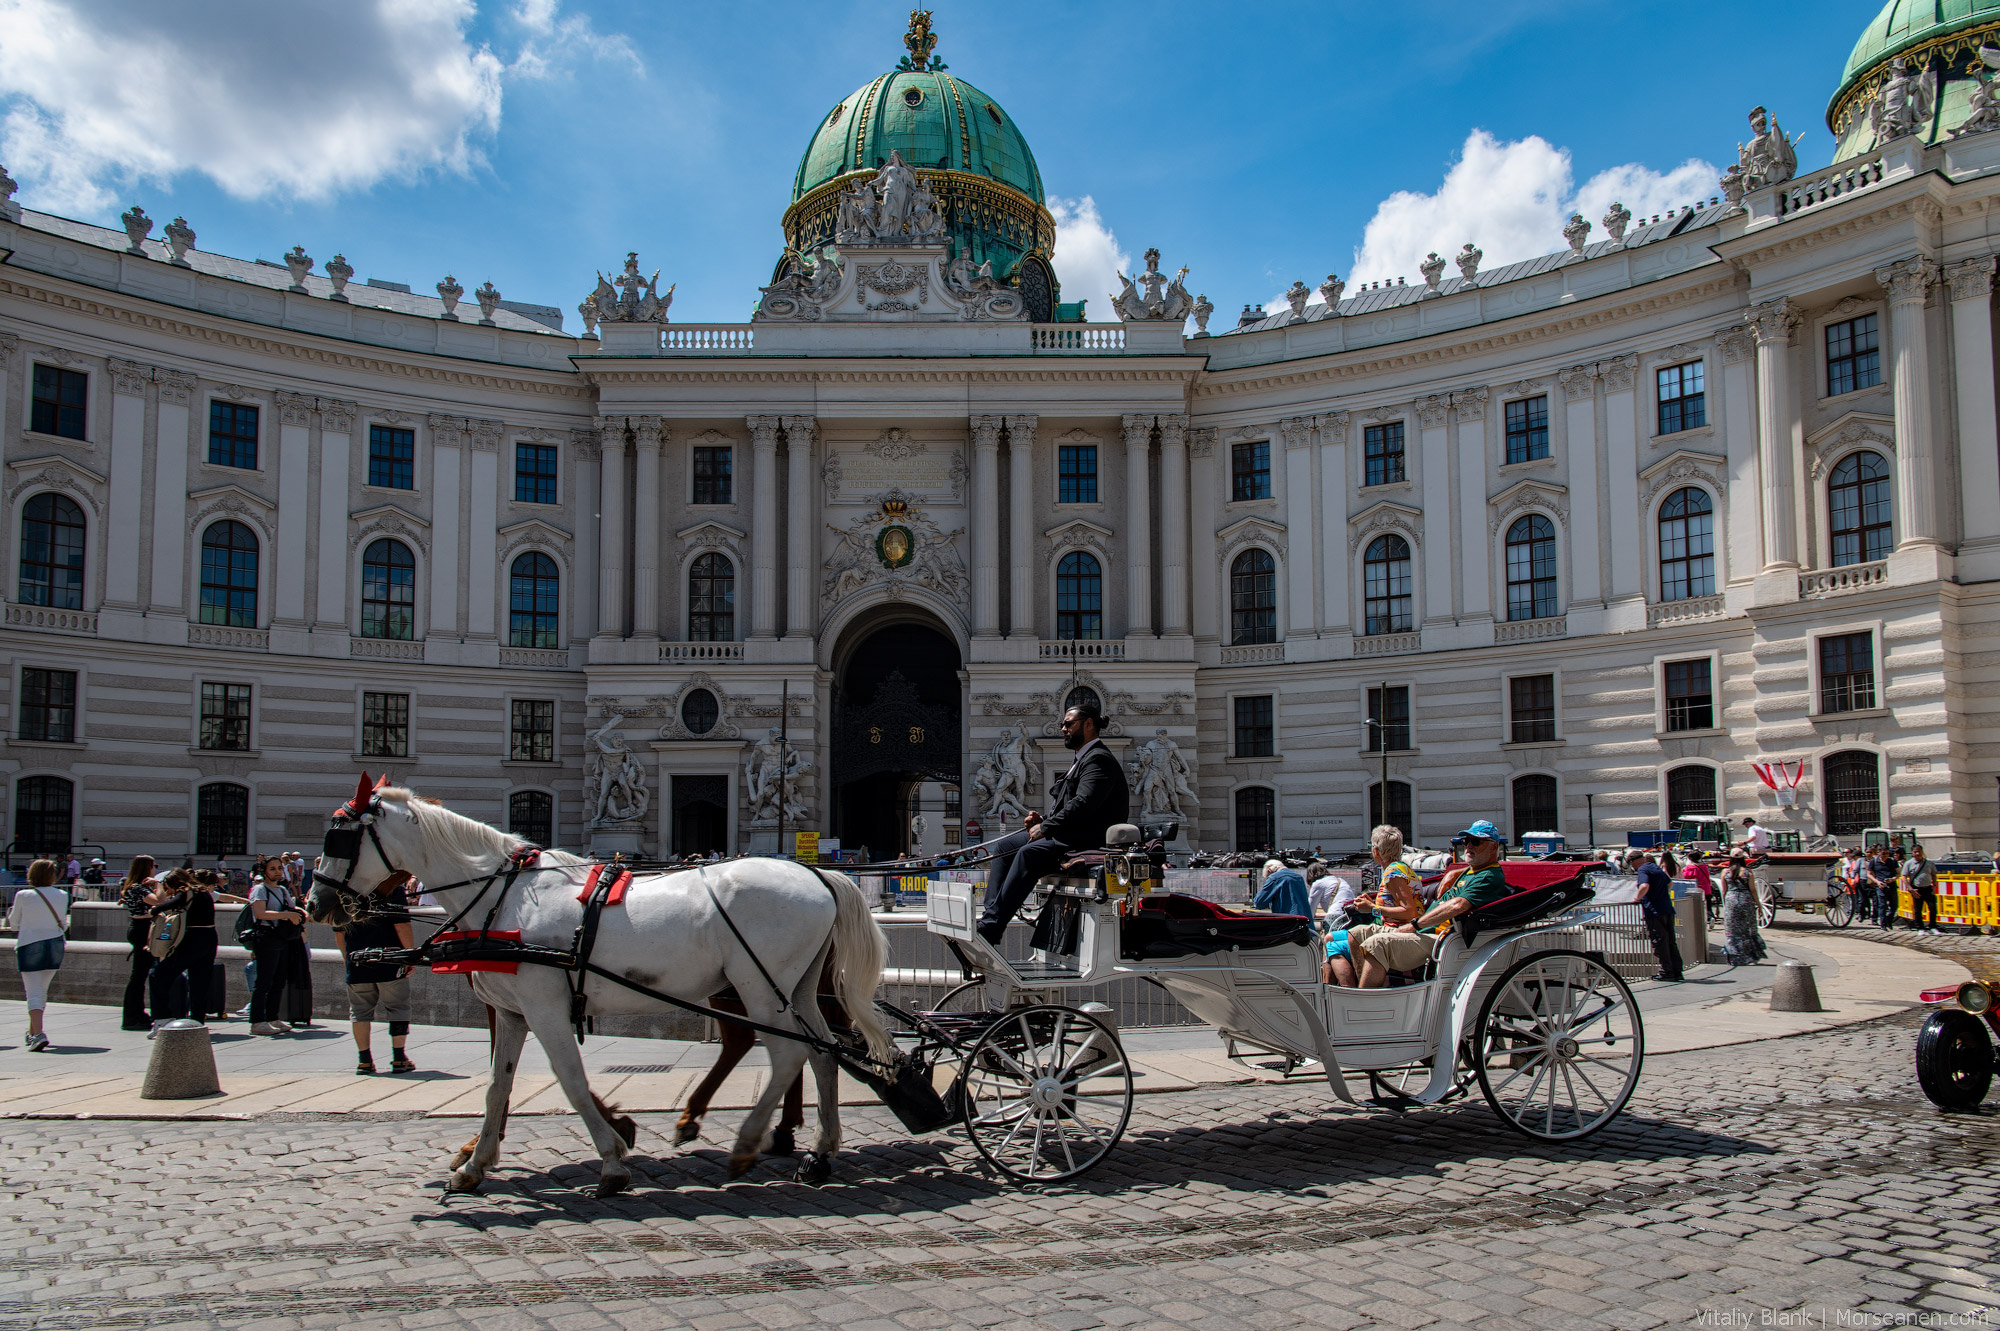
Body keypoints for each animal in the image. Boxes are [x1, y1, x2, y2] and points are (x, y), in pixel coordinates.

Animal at [300, 771, 896, 1183]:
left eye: (338, 838)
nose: (315, 904)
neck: (505, 897)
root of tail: (817, 873)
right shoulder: (513, 1012)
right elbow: (497, 1086)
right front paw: (476, 1162)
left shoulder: (544, 1008)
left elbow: (570, 1080)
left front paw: (612, 1157)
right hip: (793, 987)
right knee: (821, 1051)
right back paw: (819, 1150)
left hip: (757, 987)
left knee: (790, 1053)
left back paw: (751, 1141)